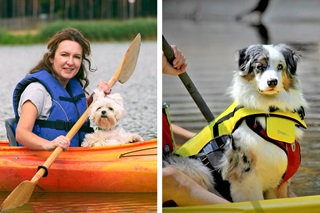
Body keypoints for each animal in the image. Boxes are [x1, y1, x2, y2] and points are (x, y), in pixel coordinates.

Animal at [164, 44, 308, 202]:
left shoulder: (278, 184)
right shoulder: (245, 179)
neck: (268, 109)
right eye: (259, 67)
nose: (272, 82)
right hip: (194, 168)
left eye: (280, 66)